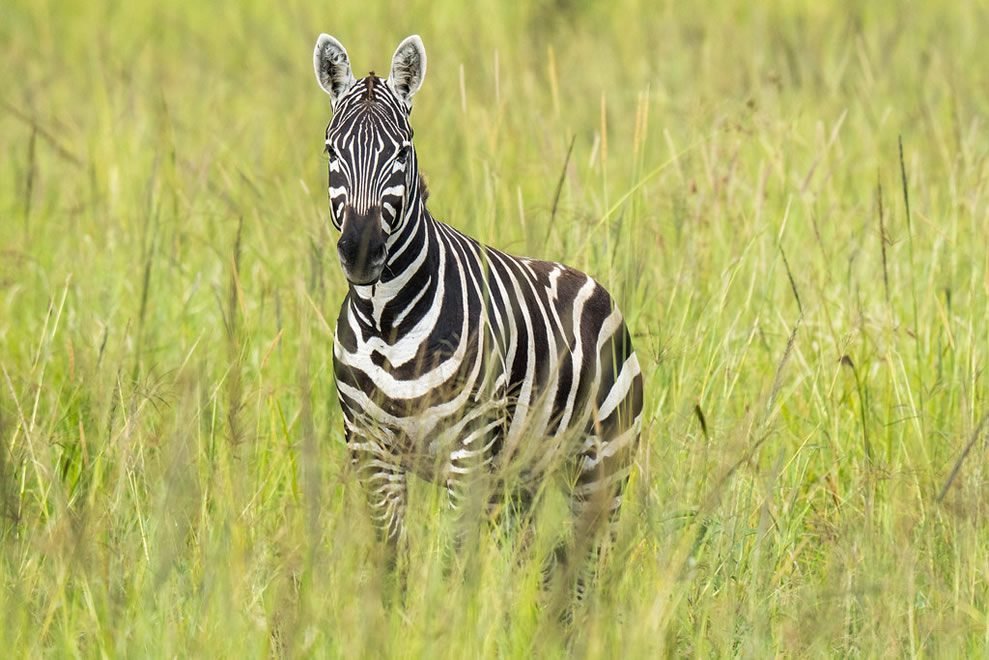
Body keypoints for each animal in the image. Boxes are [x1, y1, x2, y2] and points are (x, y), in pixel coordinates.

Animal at [313, 33, 644, 608]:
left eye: (402, 152)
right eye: (332, 151)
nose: (361, 252)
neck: (386, 322)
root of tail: (590, 281)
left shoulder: (466, 453)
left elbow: (450, 567)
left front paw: (443, 624)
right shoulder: (370, 450)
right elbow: (395, 565)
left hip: (601, 469)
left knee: (586, 576)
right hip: (523, 480)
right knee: (542, 570)